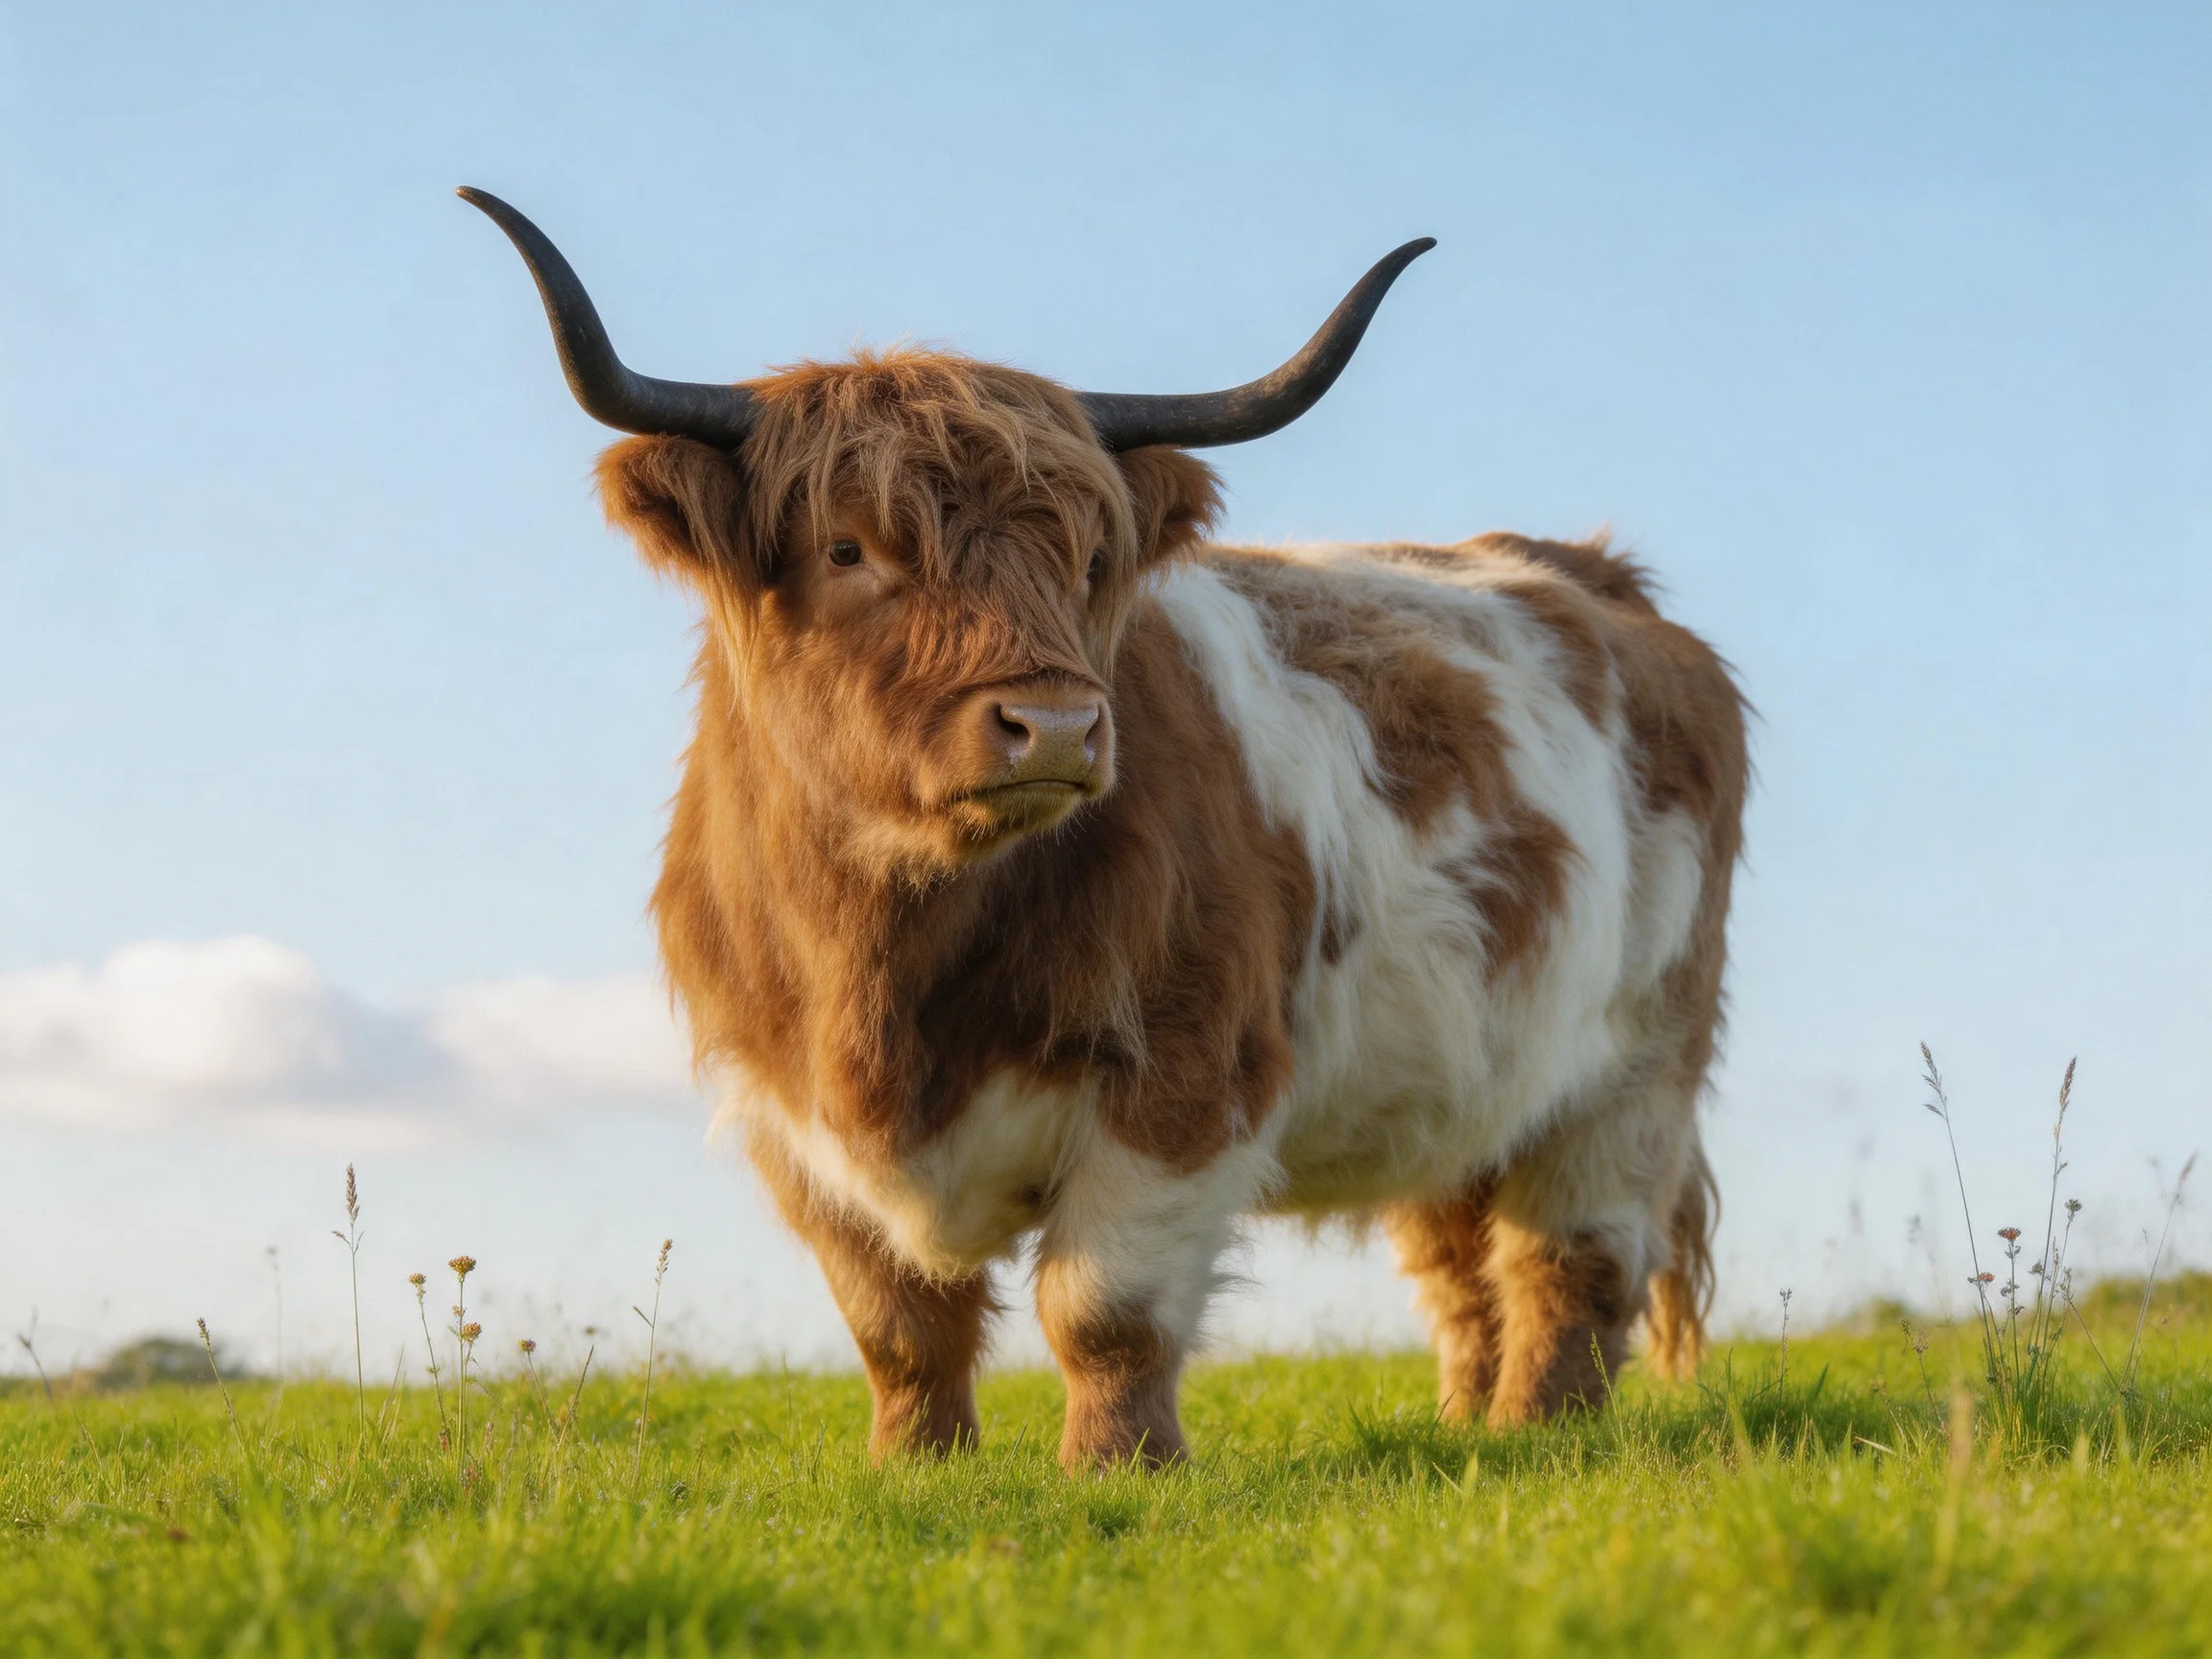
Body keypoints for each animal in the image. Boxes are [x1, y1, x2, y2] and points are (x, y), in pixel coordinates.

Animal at [462, 189, 1747, 1470]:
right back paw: (1472, 1430)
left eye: (1089, 559)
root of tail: (1593, 573)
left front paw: (1117, 1468)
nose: (1059, 725)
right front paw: (914, 1467)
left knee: (1570, 1261)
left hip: (1632, 1067)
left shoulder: (1181, 1081)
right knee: (1459, 1266)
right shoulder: (792, 1119)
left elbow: (1105, 1308)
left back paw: (1544, 1435)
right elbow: (899, 1325)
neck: (883, 963)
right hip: (1467, 1083)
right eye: (848, 547)